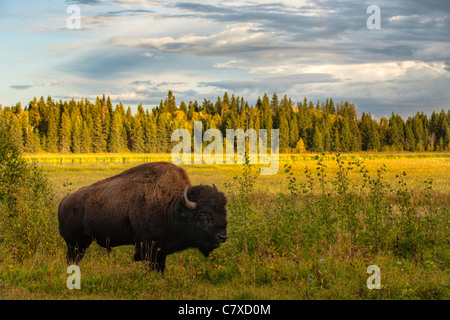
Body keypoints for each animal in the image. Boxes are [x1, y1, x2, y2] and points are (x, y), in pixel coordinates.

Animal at [57, 162, 229, 272]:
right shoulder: (148, 247)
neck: (172, 205)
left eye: (223, 211)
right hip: (74, 243)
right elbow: (152, 266)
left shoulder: (161, 249)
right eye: (203, 214)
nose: (222, 236)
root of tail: (64, 201)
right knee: (71, 257)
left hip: (83, 242)